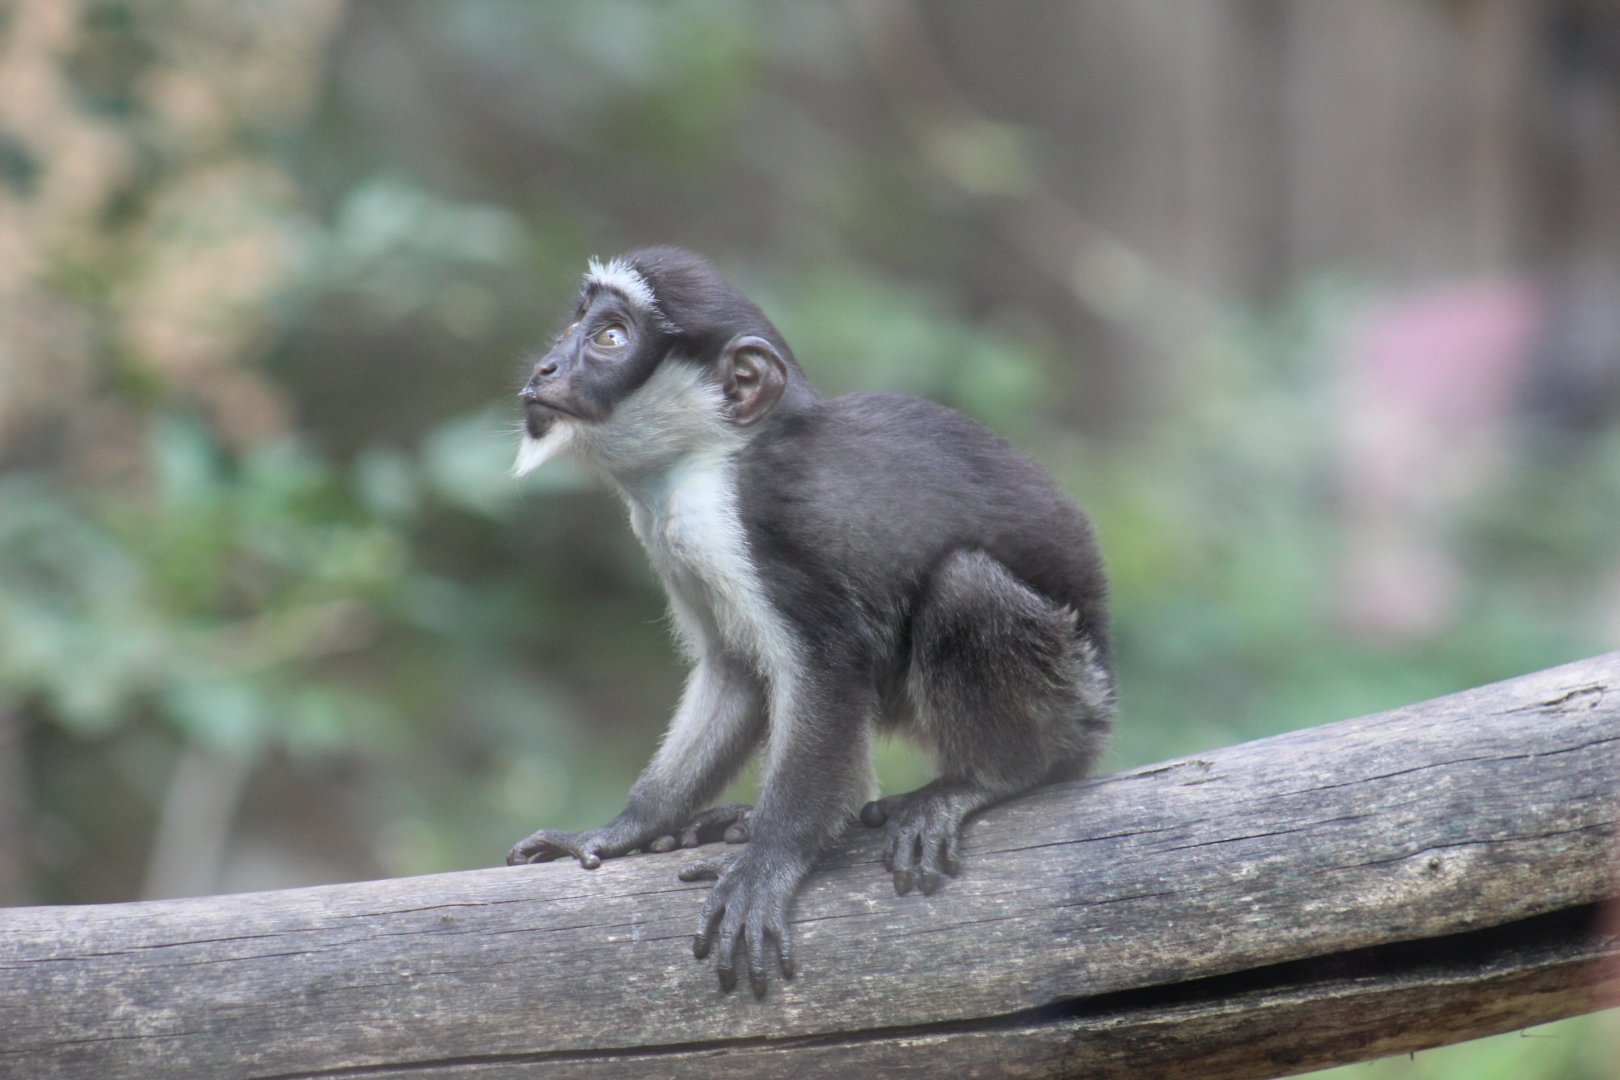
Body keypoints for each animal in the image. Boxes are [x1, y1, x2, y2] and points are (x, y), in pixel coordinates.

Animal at [506, 248, 1114, 997]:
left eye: (610, 337)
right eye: (576, 323)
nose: (544, 369)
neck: (712, 456)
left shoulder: (747, 523)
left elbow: (827, 666)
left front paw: (770, 861)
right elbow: (735, 671)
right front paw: (625, 829)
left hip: (1066, 685)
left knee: (964, 585)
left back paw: (984, 779)